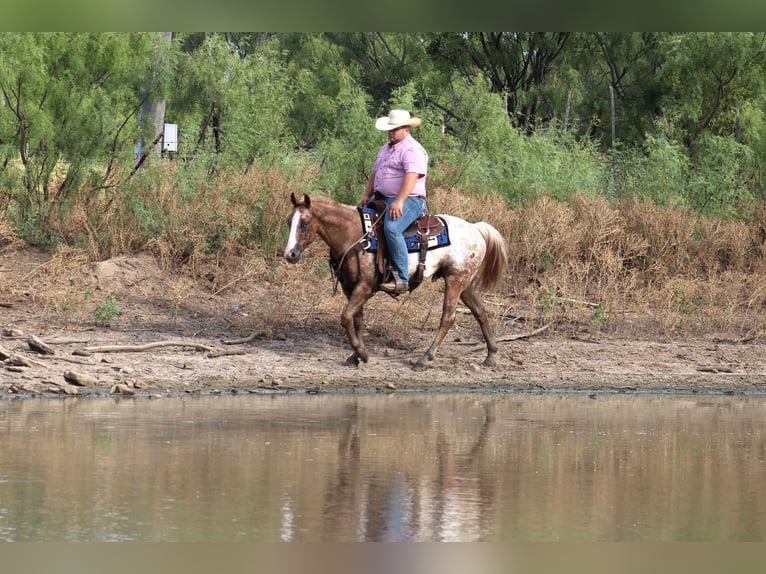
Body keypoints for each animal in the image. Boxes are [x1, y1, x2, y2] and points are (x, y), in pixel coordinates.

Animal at [284, 194, 510, 372]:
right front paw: (356, 355)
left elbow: (346, 317)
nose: (290, 254)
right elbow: (357, 319)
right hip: (464, 282)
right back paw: (491, 355)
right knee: (479, 310)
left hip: (455, 280)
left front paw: (362, 354)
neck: (355, 237)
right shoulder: (350, 287)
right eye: (289, 222)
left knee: (448, 317)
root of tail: (475, 228)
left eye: (304, 223)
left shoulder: (365, 287)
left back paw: (424, 359)